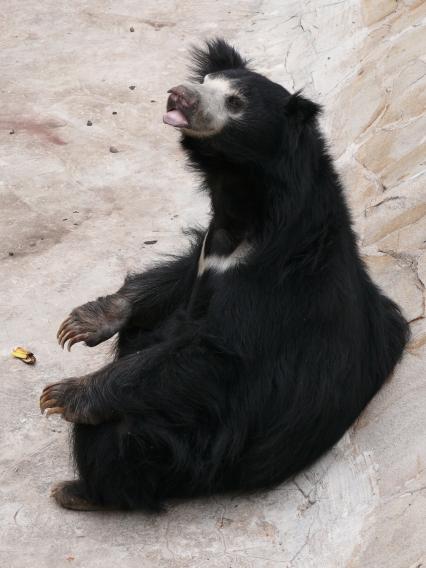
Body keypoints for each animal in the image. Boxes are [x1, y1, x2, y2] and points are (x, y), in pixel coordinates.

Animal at [40, 38, 410, 510]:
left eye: (235, 103)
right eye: (206, 80)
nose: (179, 94)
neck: (244, 206)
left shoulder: (272, 283)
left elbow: (213, 354)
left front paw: (65, 392)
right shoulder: (210, 250)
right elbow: (179, 275)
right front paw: (84, 321)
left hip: (184, 452)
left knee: (114, 436)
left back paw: (80, 491)